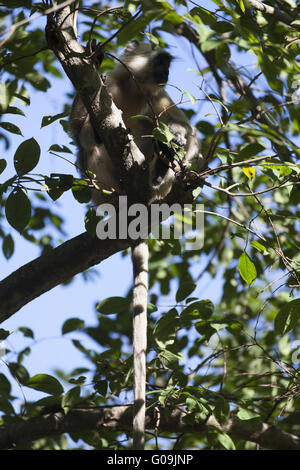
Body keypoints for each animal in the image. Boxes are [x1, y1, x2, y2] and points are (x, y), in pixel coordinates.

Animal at [70, 39, 200, 448]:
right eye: (161, 63)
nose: (168, 73)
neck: (131, 89)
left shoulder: (156, 96)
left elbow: (188, 132)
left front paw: (174, 148)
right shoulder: (109, 88)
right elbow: (76, 126)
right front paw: (93, 58)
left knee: (163, 134)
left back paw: (159, 168)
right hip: (102, 187)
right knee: (90, 142)